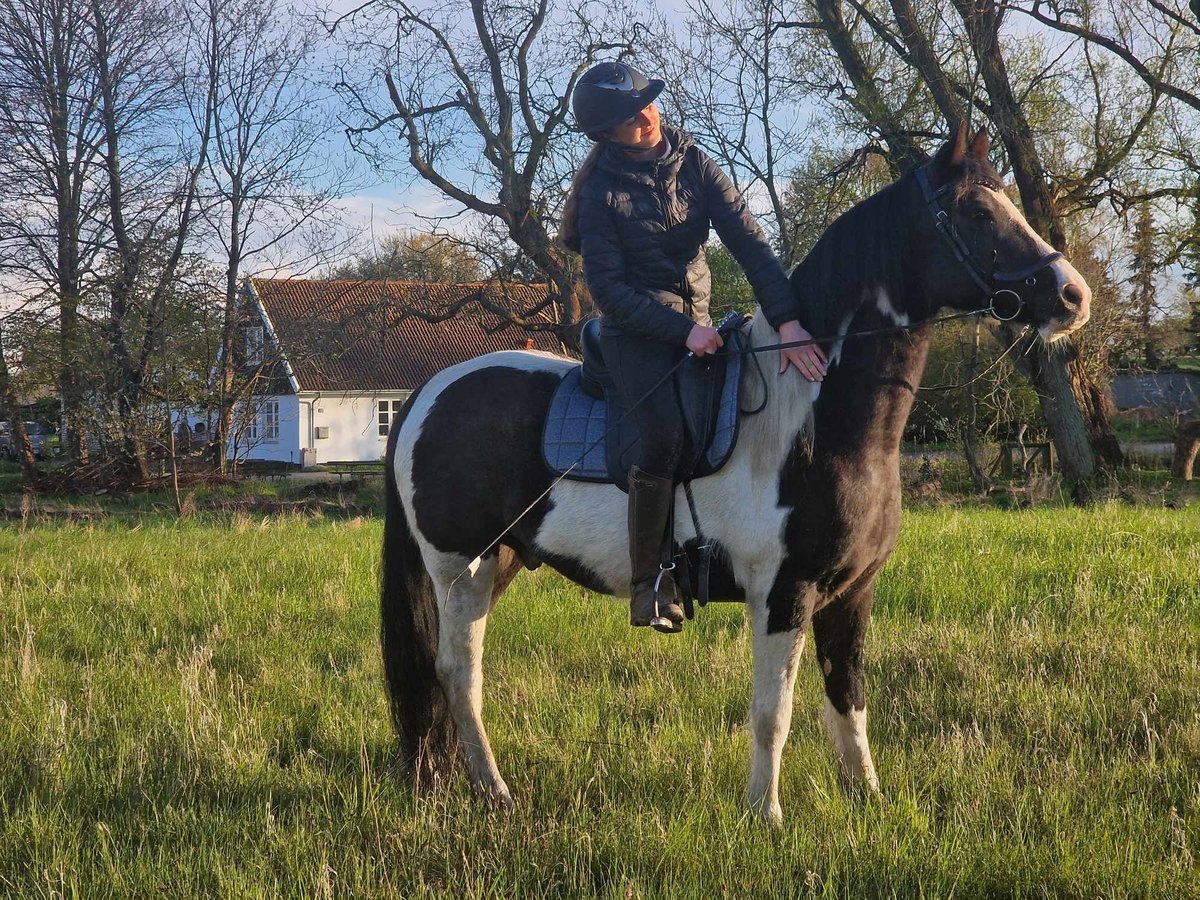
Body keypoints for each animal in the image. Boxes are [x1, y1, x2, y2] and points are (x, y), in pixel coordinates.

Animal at [379, 127, 1094, 825]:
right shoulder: (784, 592)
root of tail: (426, 394)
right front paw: (765, 817)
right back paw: (495, 794)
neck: (809, 419)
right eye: (976, 212)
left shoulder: (852, 592)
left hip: (499, 562)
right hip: (459, 568)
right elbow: (773, 713)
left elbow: (848, 698)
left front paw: (869, 799)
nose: (1072, 295)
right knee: (458, 674)